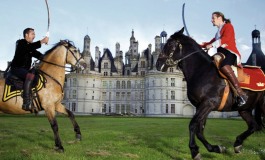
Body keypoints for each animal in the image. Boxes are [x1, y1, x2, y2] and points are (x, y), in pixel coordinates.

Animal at [155, 28, 264, 159]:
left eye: (170, 44)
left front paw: (194, 150)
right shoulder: (200, 106)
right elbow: (199, 129)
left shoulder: (208, 103)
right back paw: (237, 144)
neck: (201, 70)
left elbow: (193, 125)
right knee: (254, 125)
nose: (157, 64)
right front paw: (216, 148)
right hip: (244, 109)